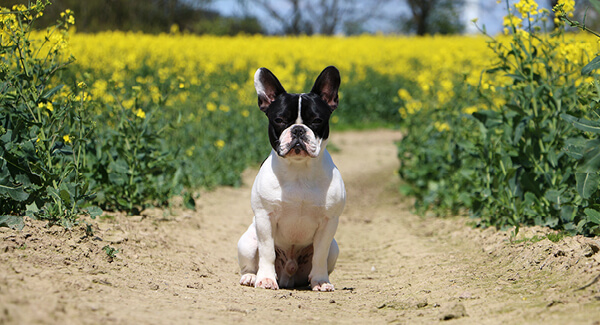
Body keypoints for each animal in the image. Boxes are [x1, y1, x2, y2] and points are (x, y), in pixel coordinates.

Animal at [237, 66, 344, 292]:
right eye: (279, 120)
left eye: (317, 121)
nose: (298, 129)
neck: (299, 170)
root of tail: (289, 275)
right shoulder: (265, 217)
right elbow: (267, 251)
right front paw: (266, 279)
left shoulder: (329, 221)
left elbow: (319, 254)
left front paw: (321, 281)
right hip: (247, 242)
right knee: (250, 262)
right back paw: (251, 277)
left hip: (334, 248)